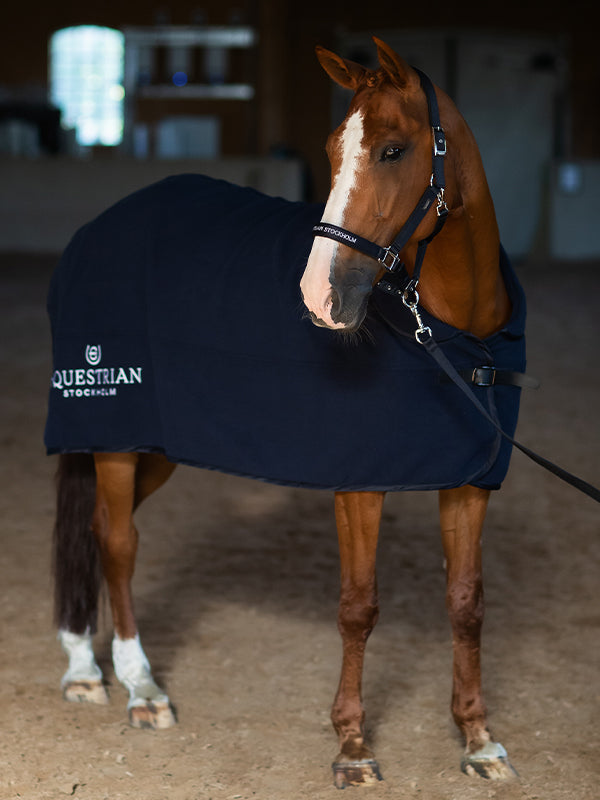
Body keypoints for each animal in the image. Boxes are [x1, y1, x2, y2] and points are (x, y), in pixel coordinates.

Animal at [46, 38, 525, 788]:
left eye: (392, 149)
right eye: (332, 150)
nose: (320, 294)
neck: (452, 340)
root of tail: (99, 228)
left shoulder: (470, 479)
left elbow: (467, 602)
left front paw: (477, 738)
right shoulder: (359, 485)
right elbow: (359, 607)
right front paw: (352, 746)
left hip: (154, 446)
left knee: (97, 528)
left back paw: (87, 668)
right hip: (115, 436)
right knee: (117, 542)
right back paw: (136, 685)